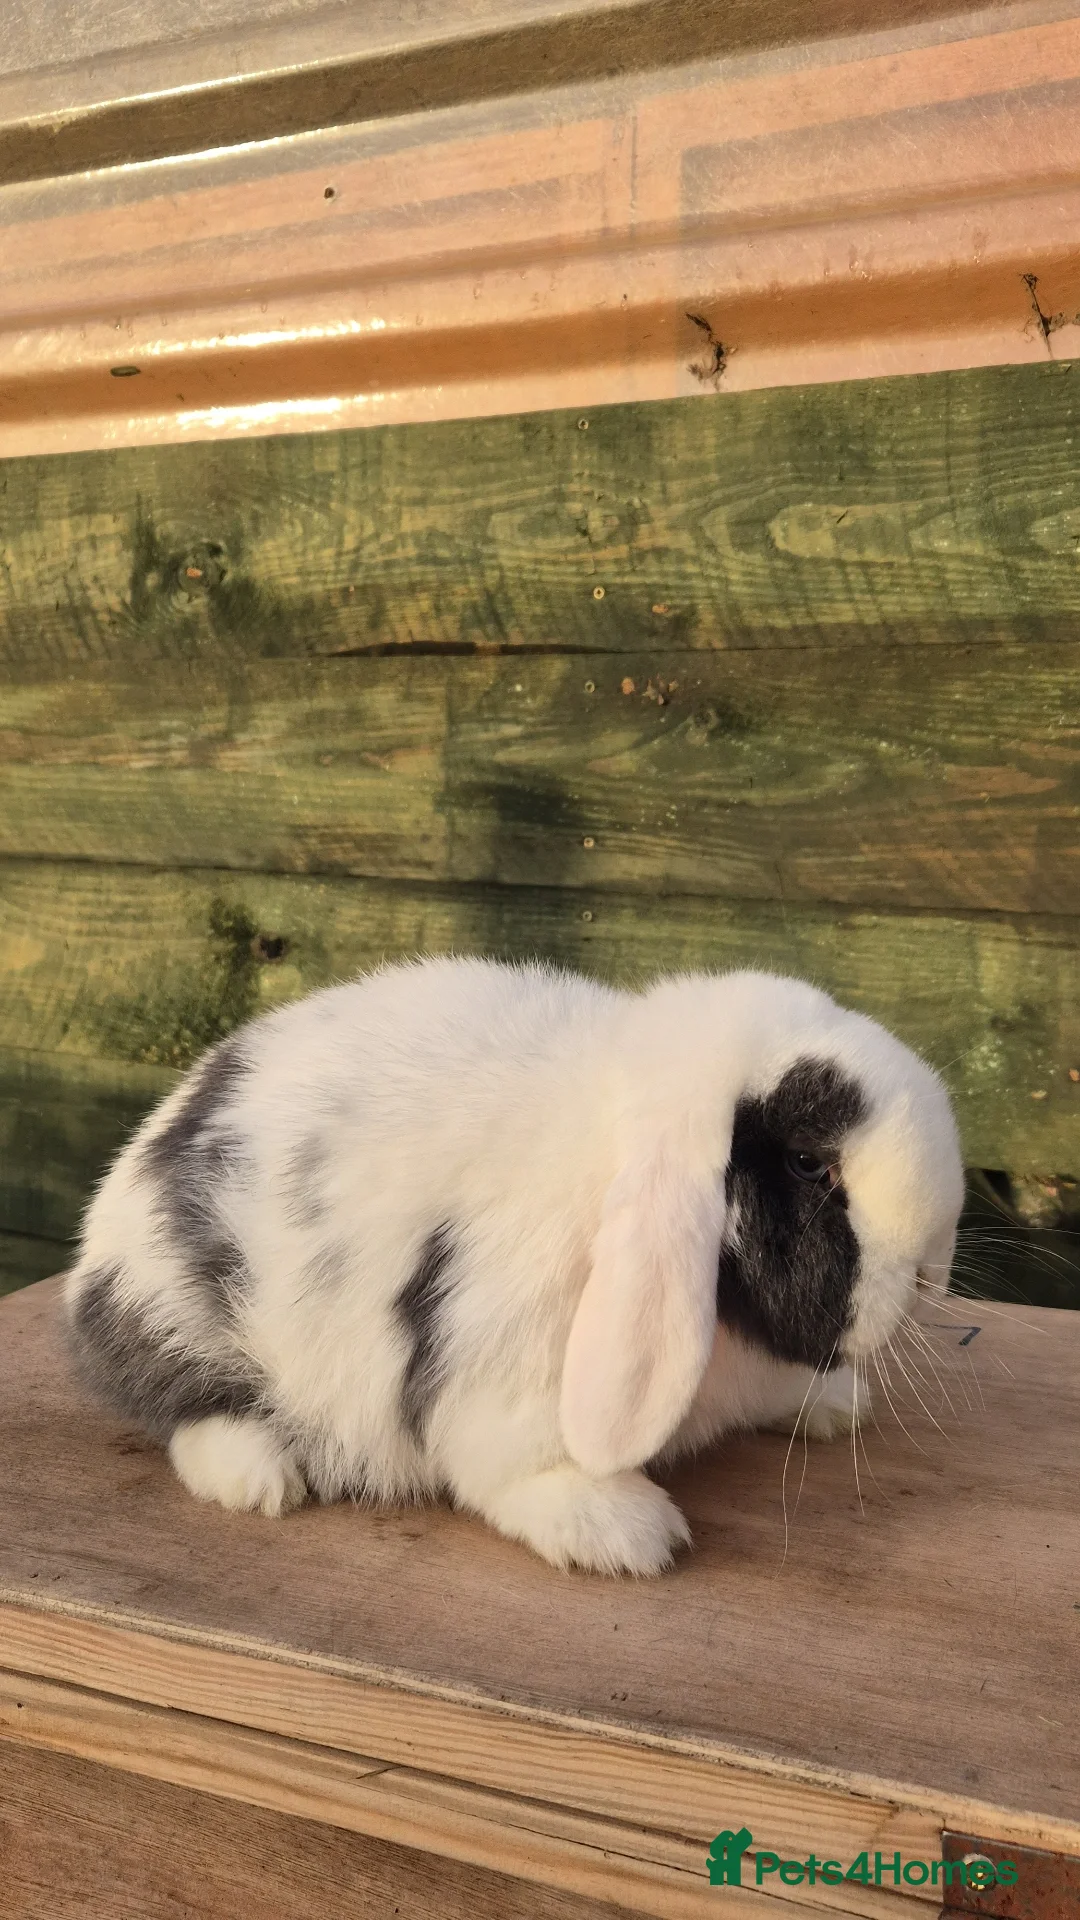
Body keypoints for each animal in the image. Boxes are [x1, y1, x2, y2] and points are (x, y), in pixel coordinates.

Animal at [64, 957, 964, 1576]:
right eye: (811, 1165)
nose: (932, 1272)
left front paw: (834, 1403)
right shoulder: (501, 1351)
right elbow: (514, 1462)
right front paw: (622, 1530)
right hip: (174, 1304)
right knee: (182, 1404)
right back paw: (257, 1477)